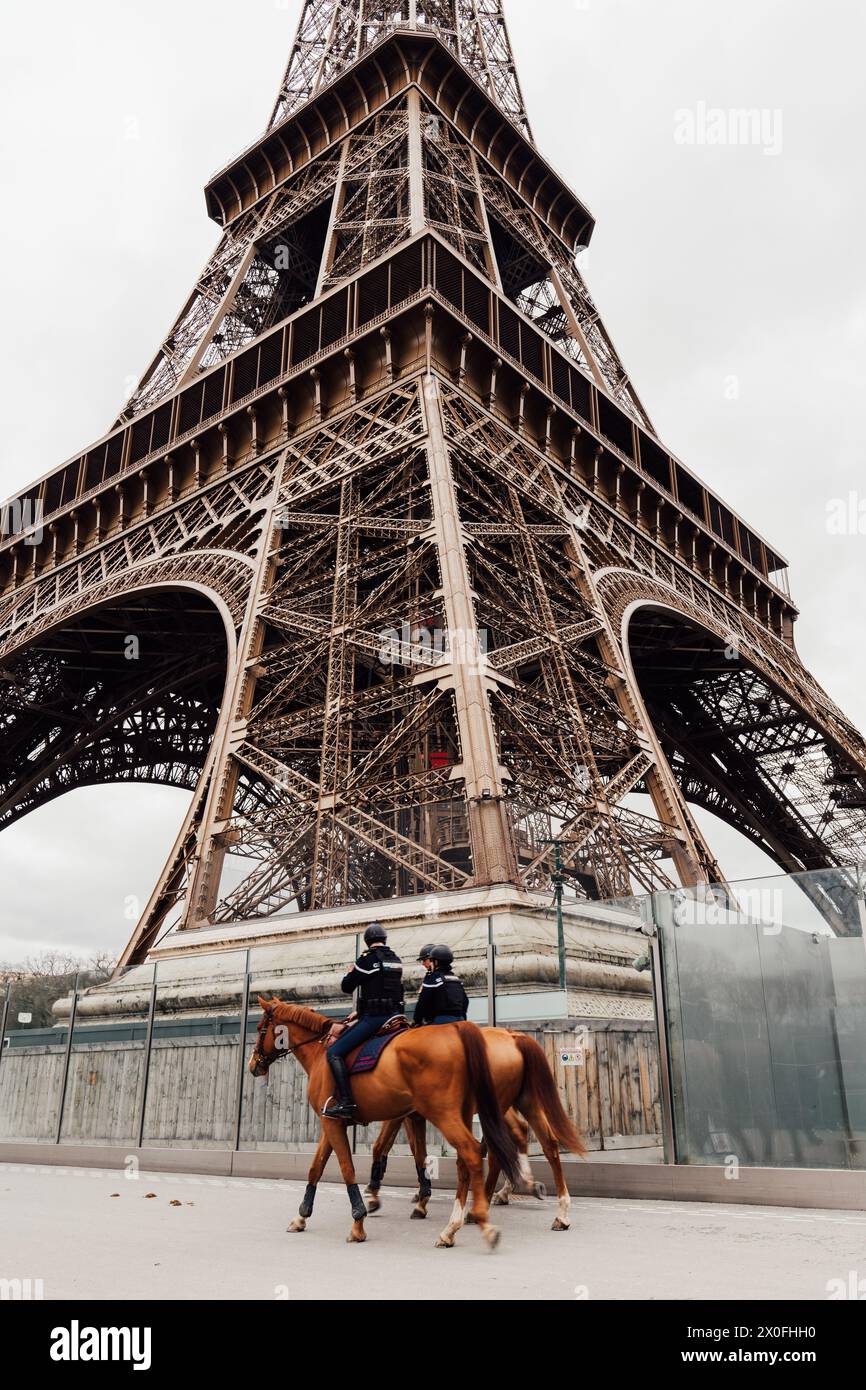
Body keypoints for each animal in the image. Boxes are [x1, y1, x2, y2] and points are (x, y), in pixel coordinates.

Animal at [250, 1000, 522, 1251]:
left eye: (260, 1027)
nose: (253, 1065)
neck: (320, 1051)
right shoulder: (334, 1122)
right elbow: (315, 1168)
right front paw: (301, 1216)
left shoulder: (343, 1122)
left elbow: (350, 1167)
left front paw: (359, 1222)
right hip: (462, 1114)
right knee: (472, 1157)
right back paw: (459, 1223)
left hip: (446, 1114)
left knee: (476, 1151)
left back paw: (474, 1221)